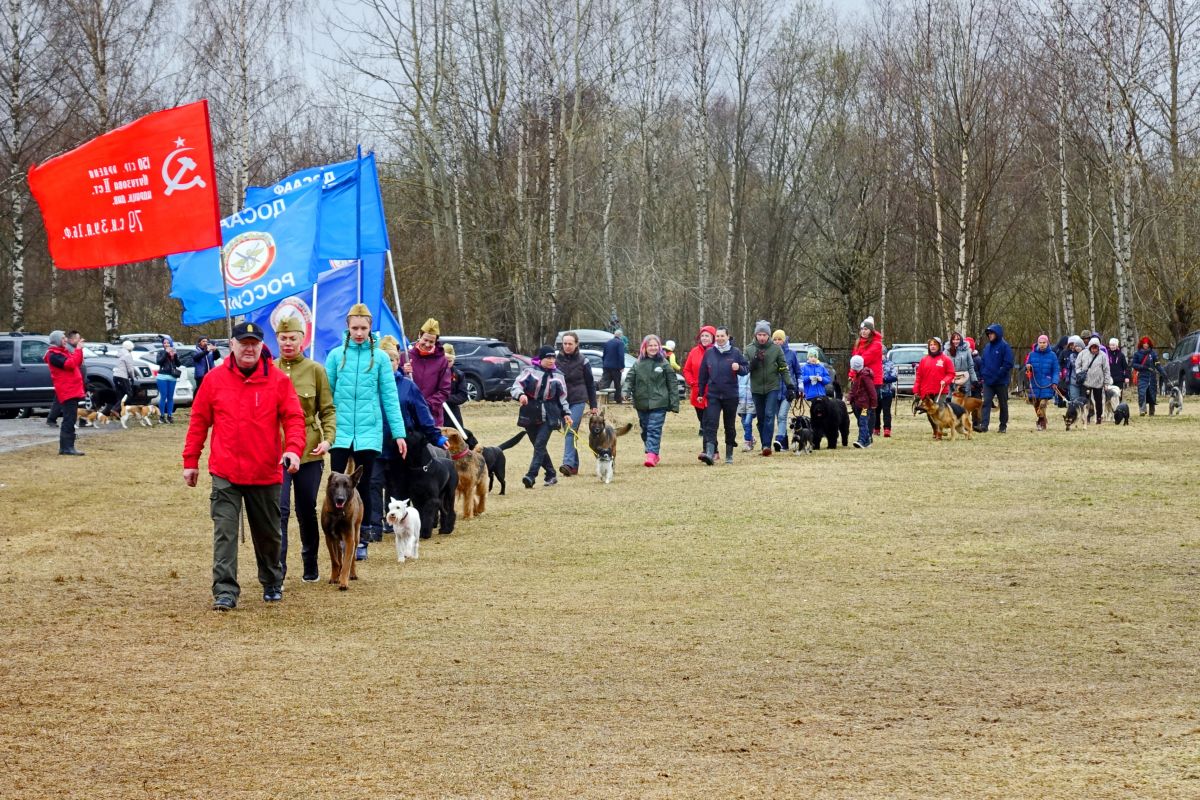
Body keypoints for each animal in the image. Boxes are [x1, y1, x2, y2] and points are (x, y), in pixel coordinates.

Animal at [321, 455, 362, 587]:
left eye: (347, 486)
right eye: (335, 485)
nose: (340, 499)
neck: (337, 515)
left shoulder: (349, 539)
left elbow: (347, 562)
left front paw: (343, 581)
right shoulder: (329, 538)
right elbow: (335, 560)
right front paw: (334, 577)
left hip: (356, 535)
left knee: (353, 557)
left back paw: (352, 574)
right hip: (337, 540)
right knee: (339, 553)